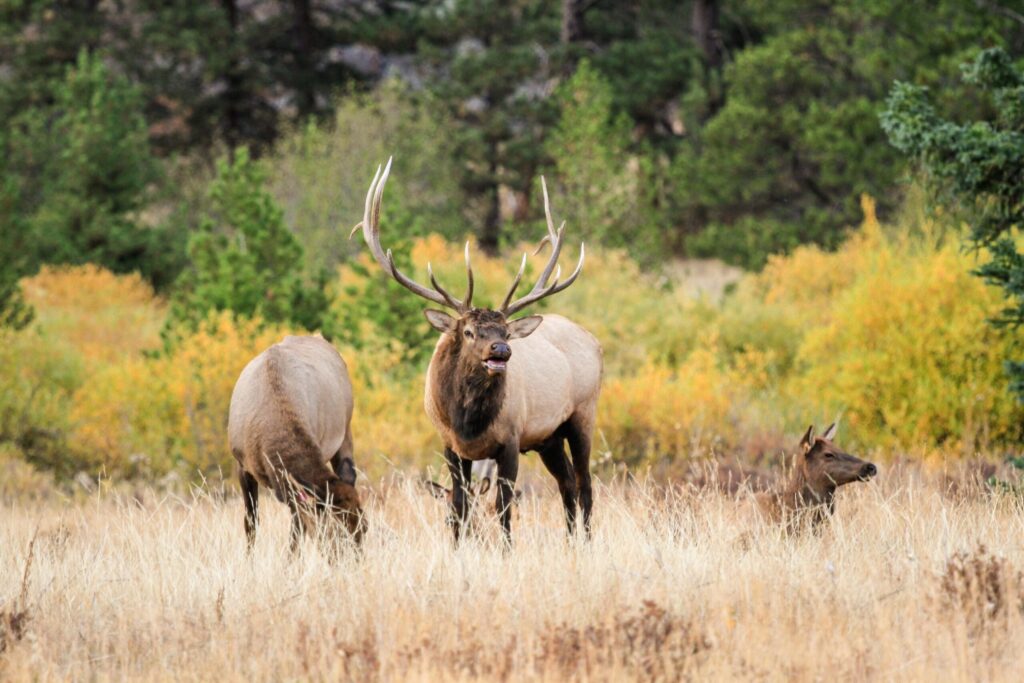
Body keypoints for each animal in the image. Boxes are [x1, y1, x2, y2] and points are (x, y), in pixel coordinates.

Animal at [228, 335, 366, 554]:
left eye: (364, 528)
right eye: (333, 530)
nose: (357, 559)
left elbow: (297, 531)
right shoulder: (243, 465)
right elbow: (251, 522)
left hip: (346, 429)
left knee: (348, 472)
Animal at [355, 158, 603, 544]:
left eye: (505, 331)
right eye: (469, 331)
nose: (501, 350)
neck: (468, 423)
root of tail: (594, 341)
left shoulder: (511, 440)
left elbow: (503, 508)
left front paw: (506, 549)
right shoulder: (450, 445)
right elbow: (458, 505)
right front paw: (458, 546)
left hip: (583, 415)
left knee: (585, 484)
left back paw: (586, 543)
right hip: (548, 438)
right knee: (566, 485)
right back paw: (569, 542)